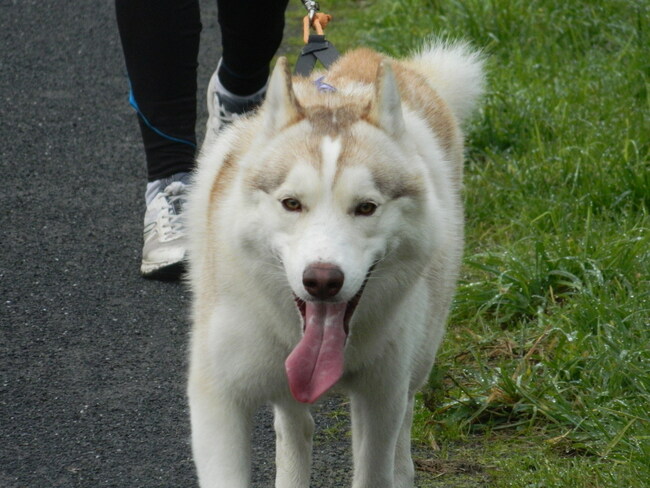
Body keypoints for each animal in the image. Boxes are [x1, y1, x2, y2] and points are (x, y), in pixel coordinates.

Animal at [185, 41, 478, 488]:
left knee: (403, 420)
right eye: (291, 203)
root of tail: (373, 58)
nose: (322, 280)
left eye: (366, 207)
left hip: (417, 358)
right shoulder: (217, 399)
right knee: (294, 423)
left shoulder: (380, 397)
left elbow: (376, 465)